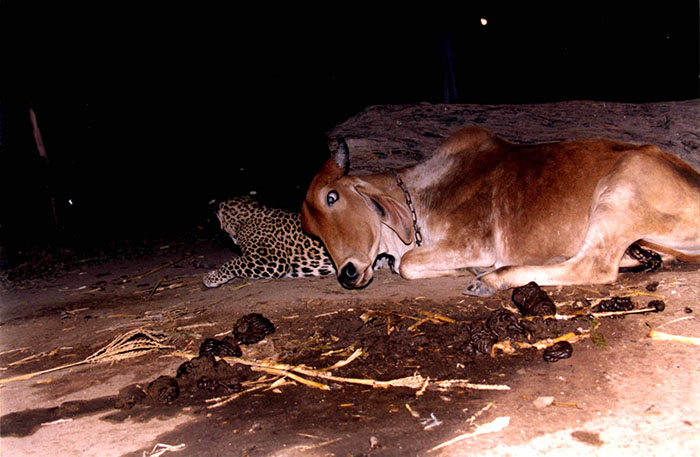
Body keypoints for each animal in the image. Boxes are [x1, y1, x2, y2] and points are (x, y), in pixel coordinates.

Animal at [301, 126, 700, 296]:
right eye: (312, 231)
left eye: (333, 197)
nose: (348, 274)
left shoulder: (474, 242)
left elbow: (407, 265)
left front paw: (468, 270)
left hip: (622, 185)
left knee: (595, 267)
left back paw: (492, 279)